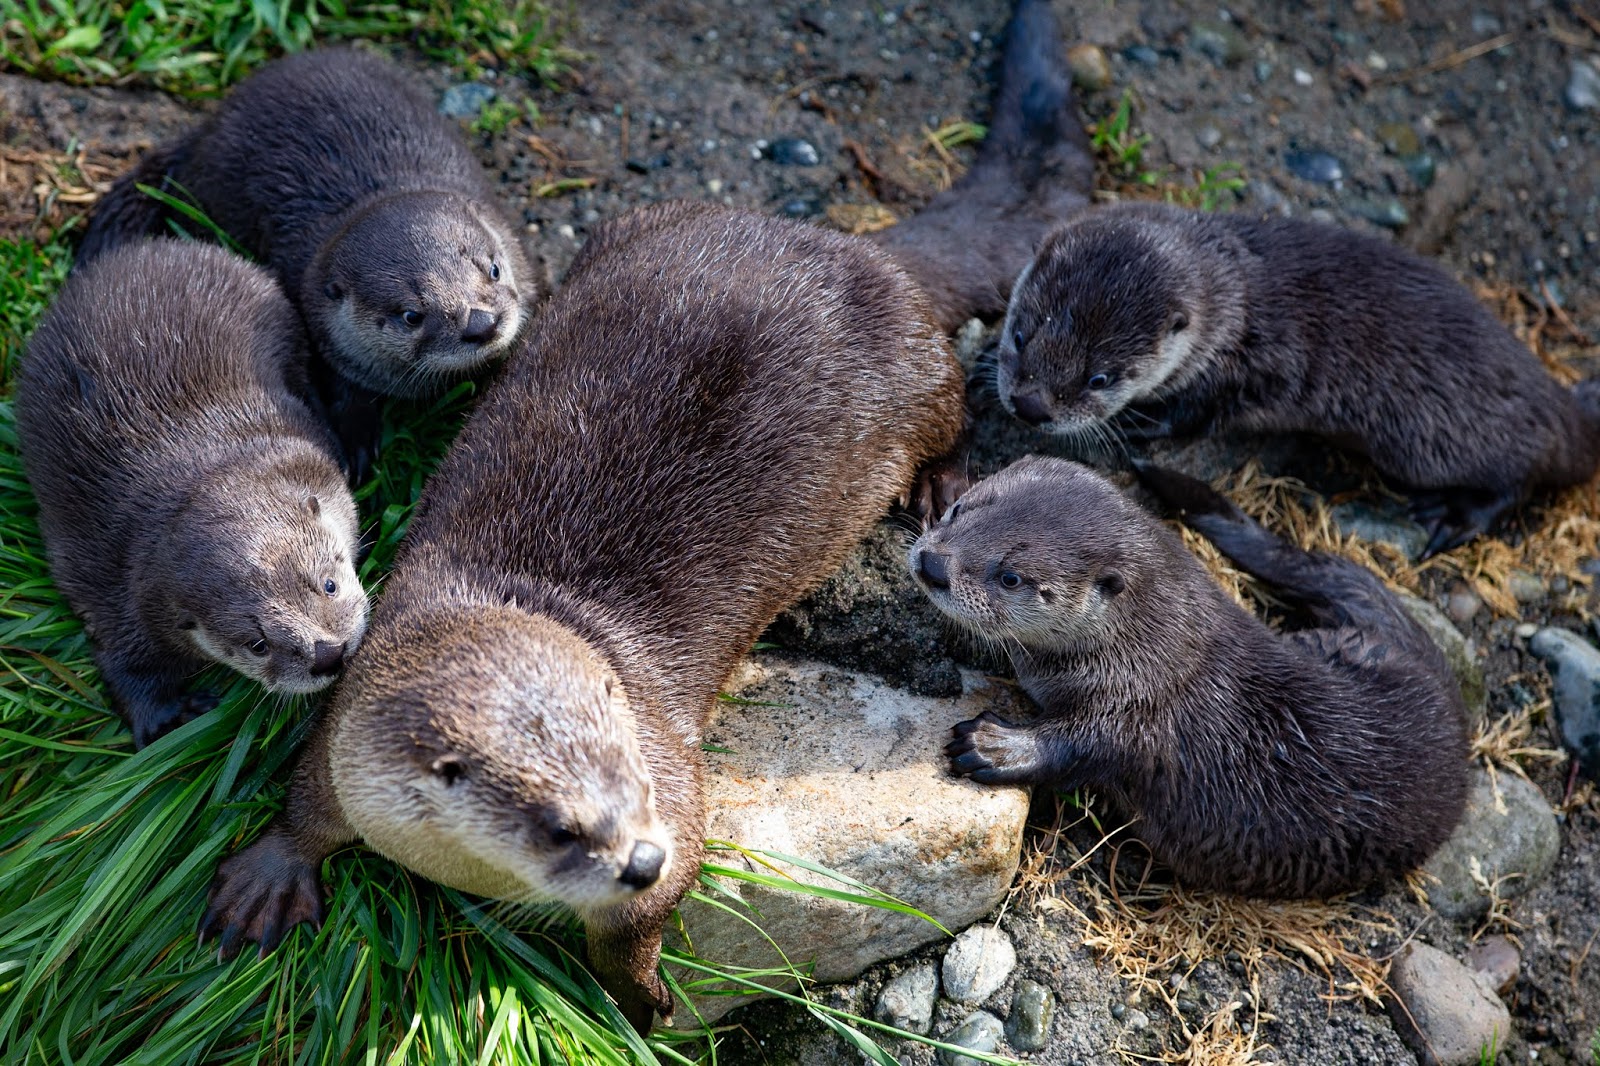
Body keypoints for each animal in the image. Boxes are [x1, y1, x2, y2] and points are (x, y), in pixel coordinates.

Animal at [16, 240, 370, 749]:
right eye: (257, 644)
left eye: (328, 584)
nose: (329, 653)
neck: (197, 466)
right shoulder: (115, 584)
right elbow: (120, 655)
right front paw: (166, 719)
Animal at [77, 47, 537, 478]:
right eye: (411, 315)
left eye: (494, 269)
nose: (482, 323)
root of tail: (208, 128)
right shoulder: (327, 340)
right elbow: (342, 392)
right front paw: (355, 443)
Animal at [909, 456, 1468, 898]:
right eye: (960, 512)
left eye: (1010, 577)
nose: (933, 563)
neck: (1149, 647)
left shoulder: (1141, 708)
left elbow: (1084, 745)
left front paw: (996, 746)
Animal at [996, 201, 1600, 557]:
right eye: (1020, 334)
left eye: (1100, 378)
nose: (1030, 405)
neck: (1235, 301)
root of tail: (1567, 411)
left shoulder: (1250, 369)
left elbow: (1201, 413)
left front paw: (1143, 422)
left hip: (1454, 447)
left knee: (1524, 479)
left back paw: (1455, 517)